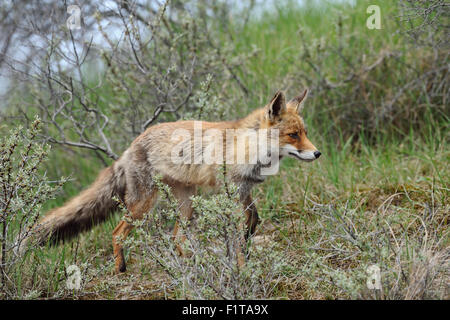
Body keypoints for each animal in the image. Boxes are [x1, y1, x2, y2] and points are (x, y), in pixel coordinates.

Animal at [20, 89, 320, 272]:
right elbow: (240, 231)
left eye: (304, 132)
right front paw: (242, 265)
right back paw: (120, 268)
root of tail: (129, 147)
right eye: (293, 135)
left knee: (176, 238)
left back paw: (192, 263)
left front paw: (246, 251)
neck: (248, 147)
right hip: (143, 205)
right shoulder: (232, 191)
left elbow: (254, 220)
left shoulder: (244, 191)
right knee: (117, 233)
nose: (317, 153)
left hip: (186, 203)